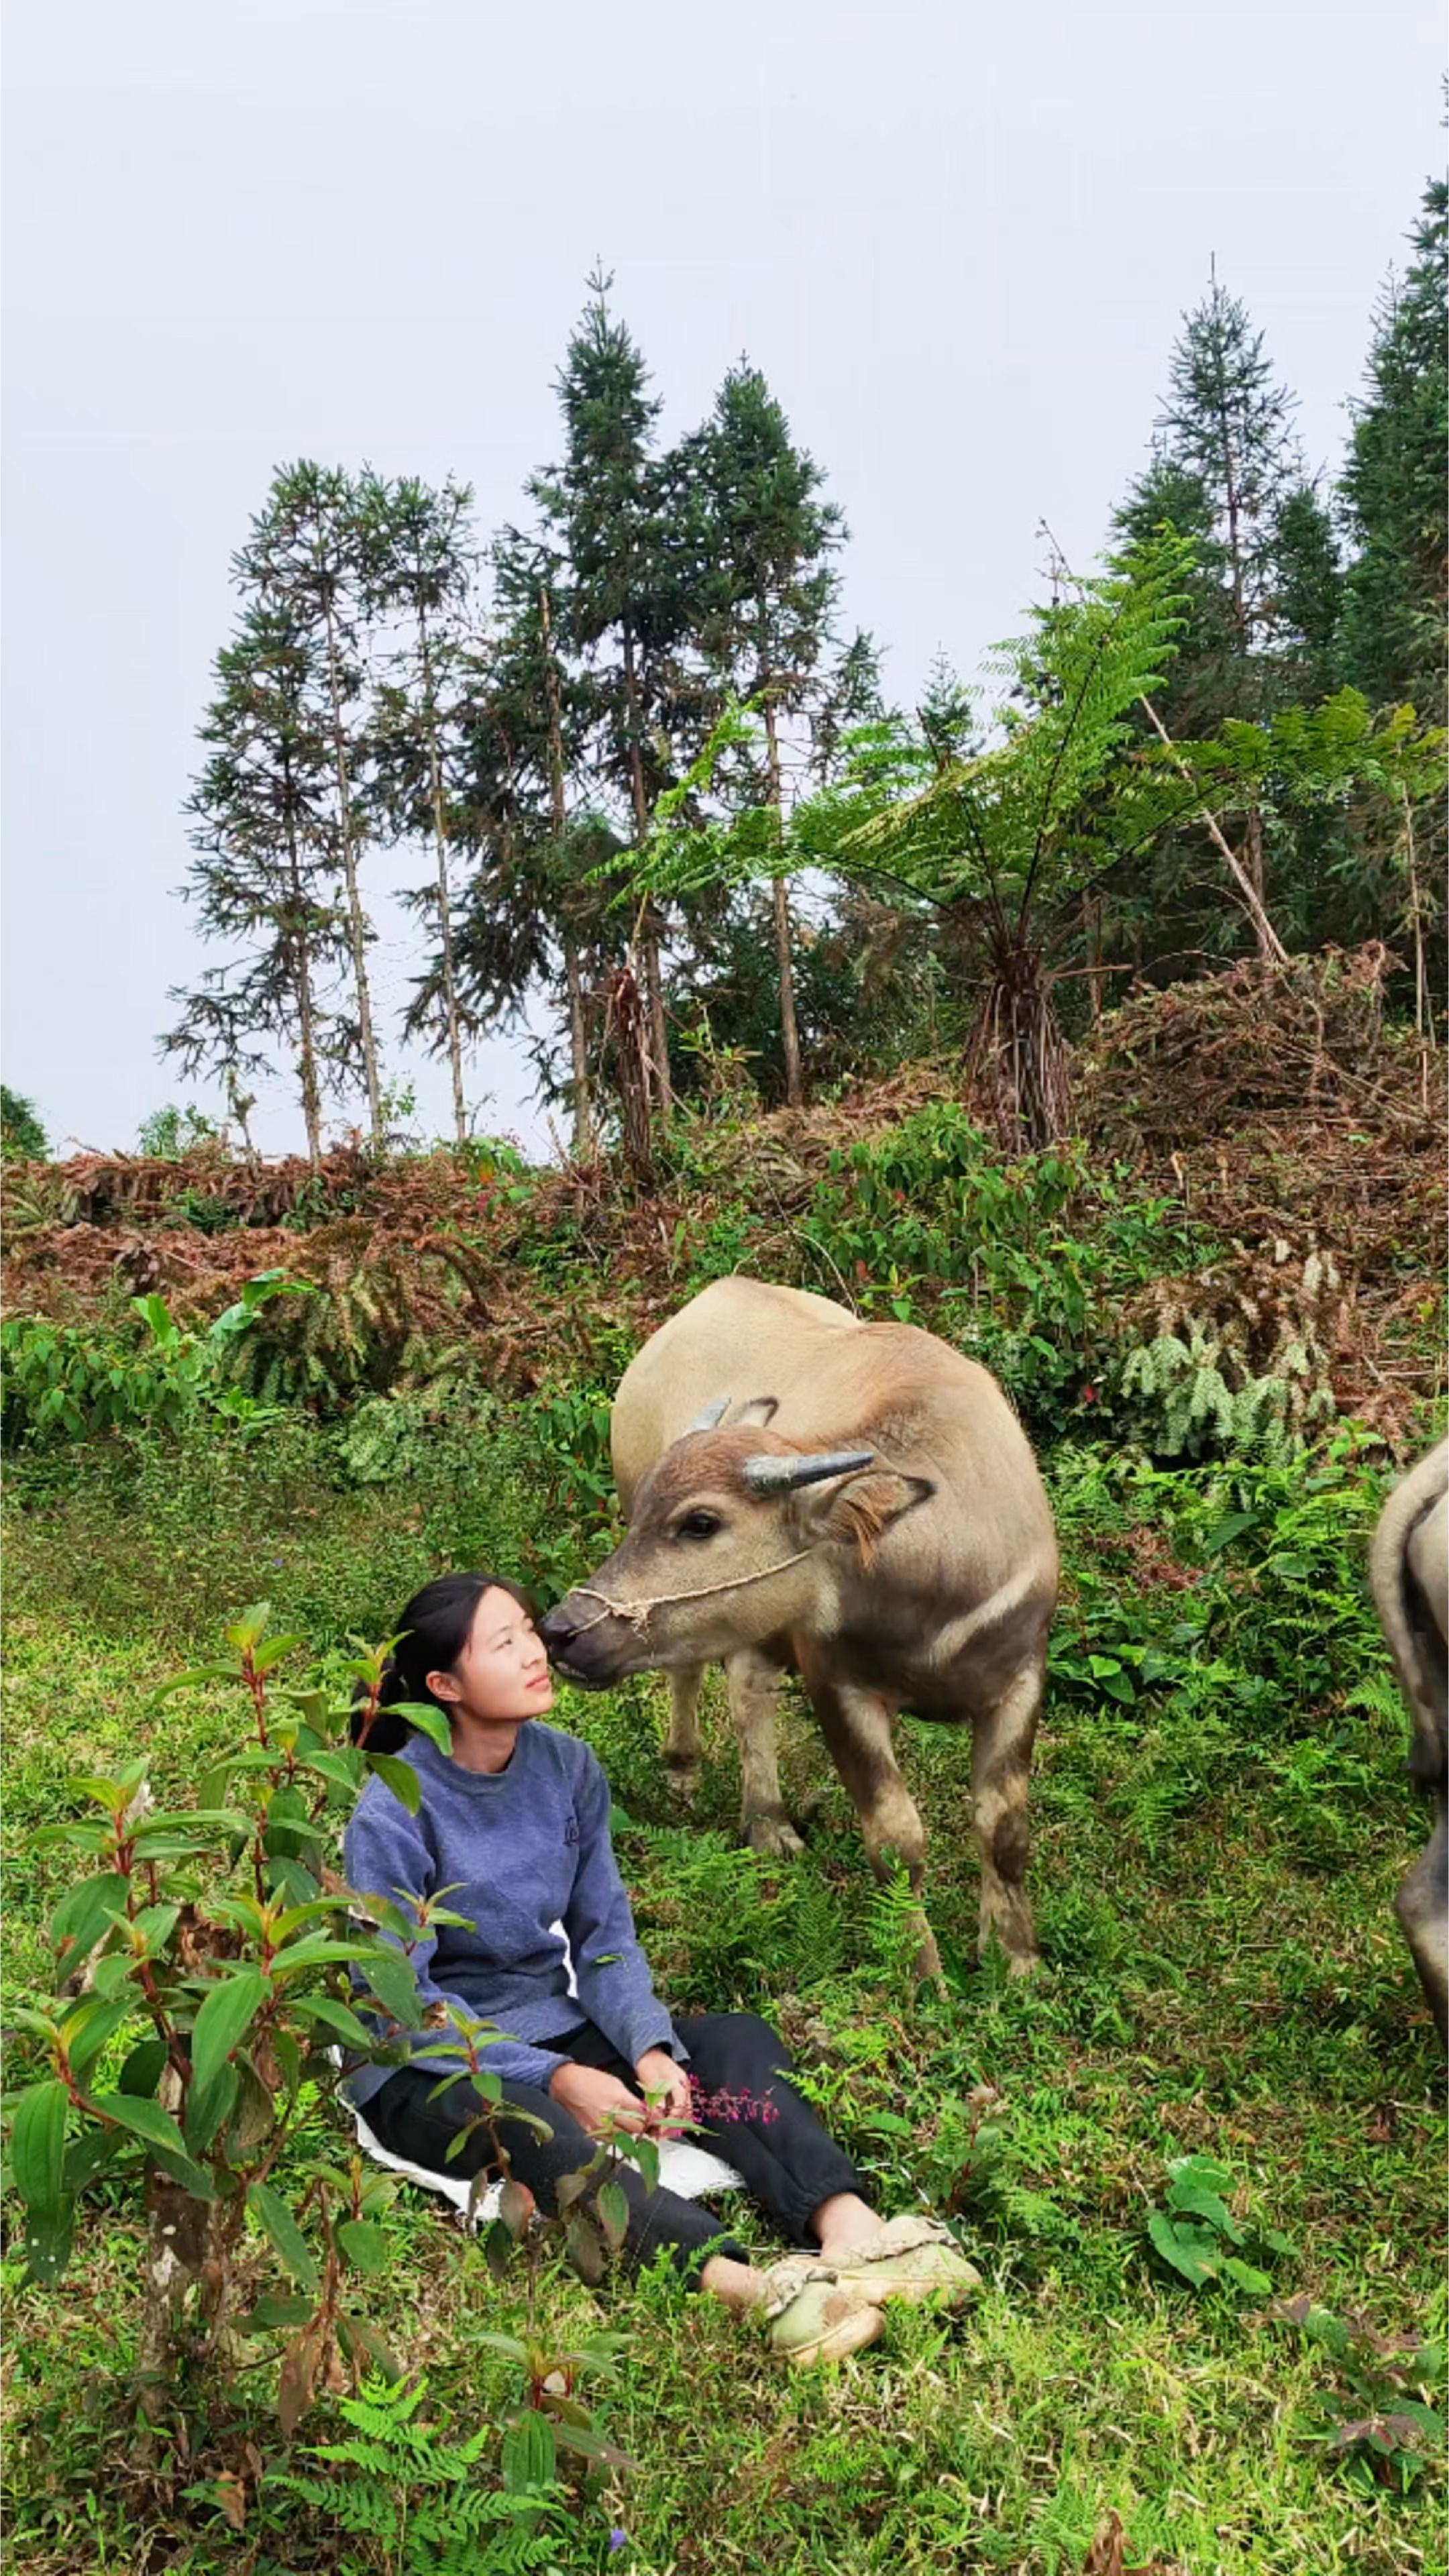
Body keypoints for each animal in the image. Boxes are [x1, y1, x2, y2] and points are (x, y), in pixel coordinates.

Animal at [536, 1277, 1057, 1978]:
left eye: (700, 1523)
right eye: (647, 1509)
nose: (561, 1629)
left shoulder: (1020, 1680)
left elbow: (1004, 1831)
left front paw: (1015, 1961)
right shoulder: (837, 1686)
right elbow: (896, 1841)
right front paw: (922, 1974)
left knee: (747, 1689)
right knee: (696, 1673)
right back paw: (703, 1782)